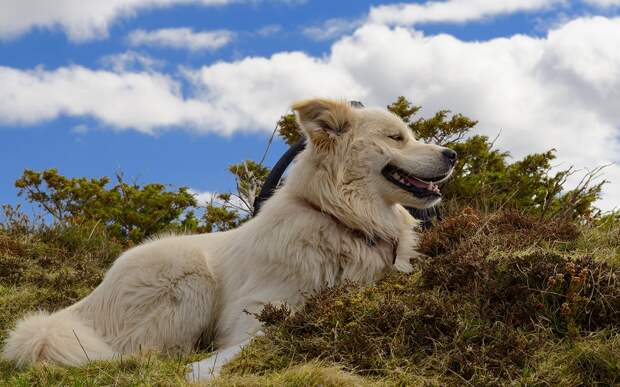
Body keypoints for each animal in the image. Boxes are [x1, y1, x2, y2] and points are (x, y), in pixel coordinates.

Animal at [0, 100, 456, 382]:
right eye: (396, 138)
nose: (452, 155)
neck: (344, 220)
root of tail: (80, 308)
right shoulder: (256, 310)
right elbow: (264, 334)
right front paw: (203, 369)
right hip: (189, 276)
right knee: (145, 349)